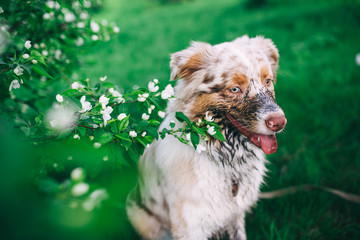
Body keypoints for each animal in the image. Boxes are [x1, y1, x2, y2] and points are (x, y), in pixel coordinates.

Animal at [126, 35, 286, 240]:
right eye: (235, 89)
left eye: (267, 81)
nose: (279, 122)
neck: (226, 159)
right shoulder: (189, 227)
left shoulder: (235, 215)